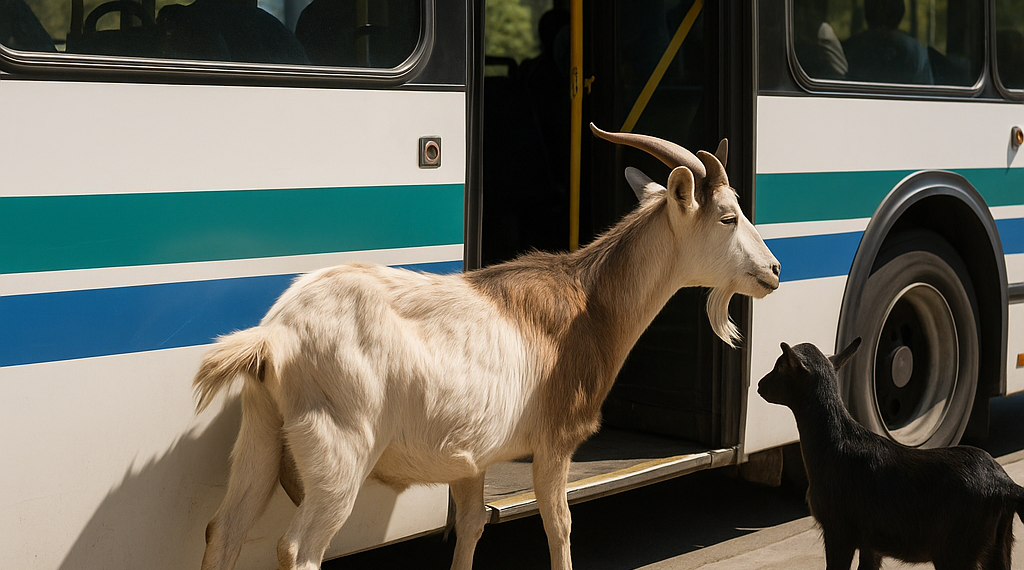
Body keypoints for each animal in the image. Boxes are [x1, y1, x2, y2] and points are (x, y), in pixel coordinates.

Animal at [193, 124, 781, 570]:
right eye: (728, 216)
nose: (774, 271)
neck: (589, 303)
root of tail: (277, 334)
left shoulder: (470, 459)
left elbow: (473, 526)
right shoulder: (554, 442)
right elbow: (560, 524)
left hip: (261, 432)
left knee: (223, 530)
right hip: (340, 449)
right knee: (299, 548)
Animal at [758, 340, 1024, 570]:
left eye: (779, 366)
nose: (759, 385)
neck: (830, 446)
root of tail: (1006, 486)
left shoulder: (838, 531)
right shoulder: (871, 543)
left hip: (955, 548)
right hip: (998, 545)